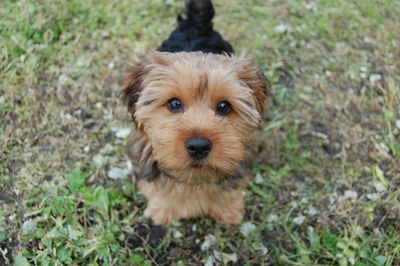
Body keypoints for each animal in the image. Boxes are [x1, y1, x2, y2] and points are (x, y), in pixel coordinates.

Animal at [122, 0, 268, 227]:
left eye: (224, 107)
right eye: (174, 104)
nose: (198, 146)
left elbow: (229, 189)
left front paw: (228, 211)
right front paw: (163, 210)